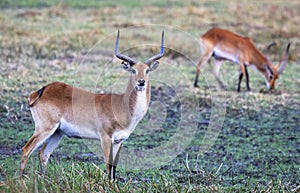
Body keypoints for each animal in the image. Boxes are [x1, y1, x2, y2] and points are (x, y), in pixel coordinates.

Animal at [19, 30, 165, 179]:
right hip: (45, 128)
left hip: (57, 133)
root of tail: (42, 90)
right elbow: (108, 165)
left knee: (43, 153)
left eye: (147, 70)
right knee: (26, 150)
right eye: (133, 70)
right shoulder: (105, 137)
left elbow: (114, 167)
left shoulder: (119, 141)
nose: (141, 82)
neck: (122, 106)